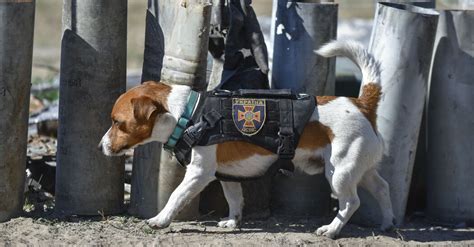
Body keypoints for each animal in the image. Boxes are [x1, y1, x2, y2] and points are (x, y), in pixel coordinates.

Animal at [100, 40, 396, 237]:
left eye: (117, 122)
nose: (100, 146)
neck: (188, 114)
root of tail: (362, 103)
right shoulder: (227, 175)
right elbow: (234, 199)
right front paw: (233, 222)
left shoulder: (199, 174)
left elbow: (175, 196)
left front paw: (160, 219)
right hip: (361, 170)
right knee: (382, 188)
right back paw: (387, 222)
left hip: (339, 173)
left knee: (351, 202)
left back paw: (332, 229)